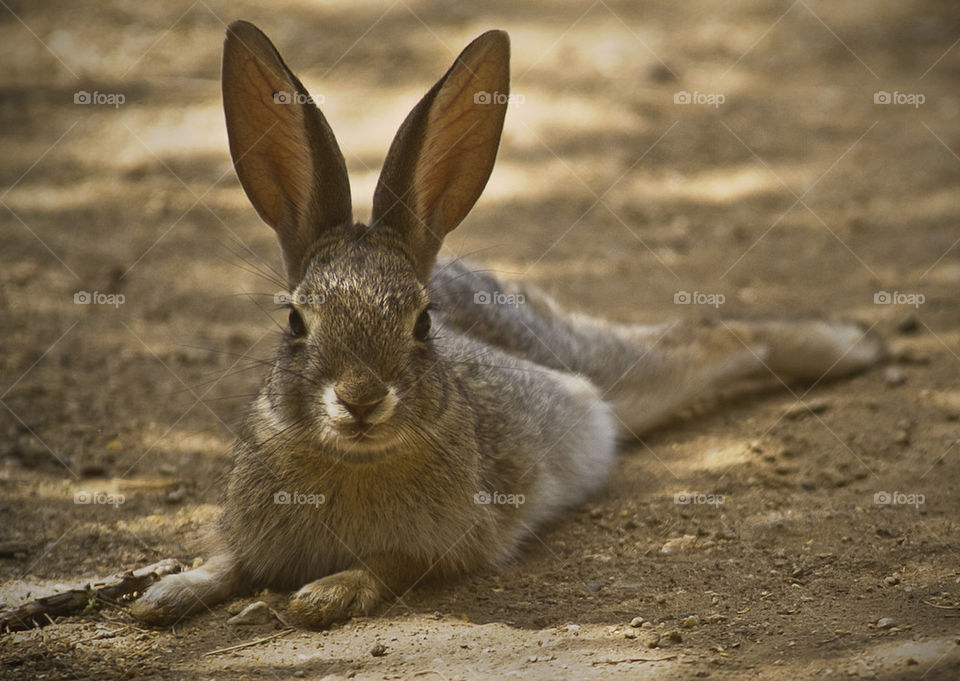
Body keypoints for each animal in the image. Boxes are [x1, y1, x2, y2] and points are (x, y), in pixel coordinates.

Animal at [131, 20, 884, 629]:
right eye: (295, 319)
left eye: (422, 322)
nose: (361, 399)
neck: (352, 459)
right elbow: (230, 563)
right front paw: (166, 596)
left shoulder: (455, 537)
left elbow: (390, 564)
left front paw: (323, 596)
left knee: (714, 340)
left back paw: (851, 347)